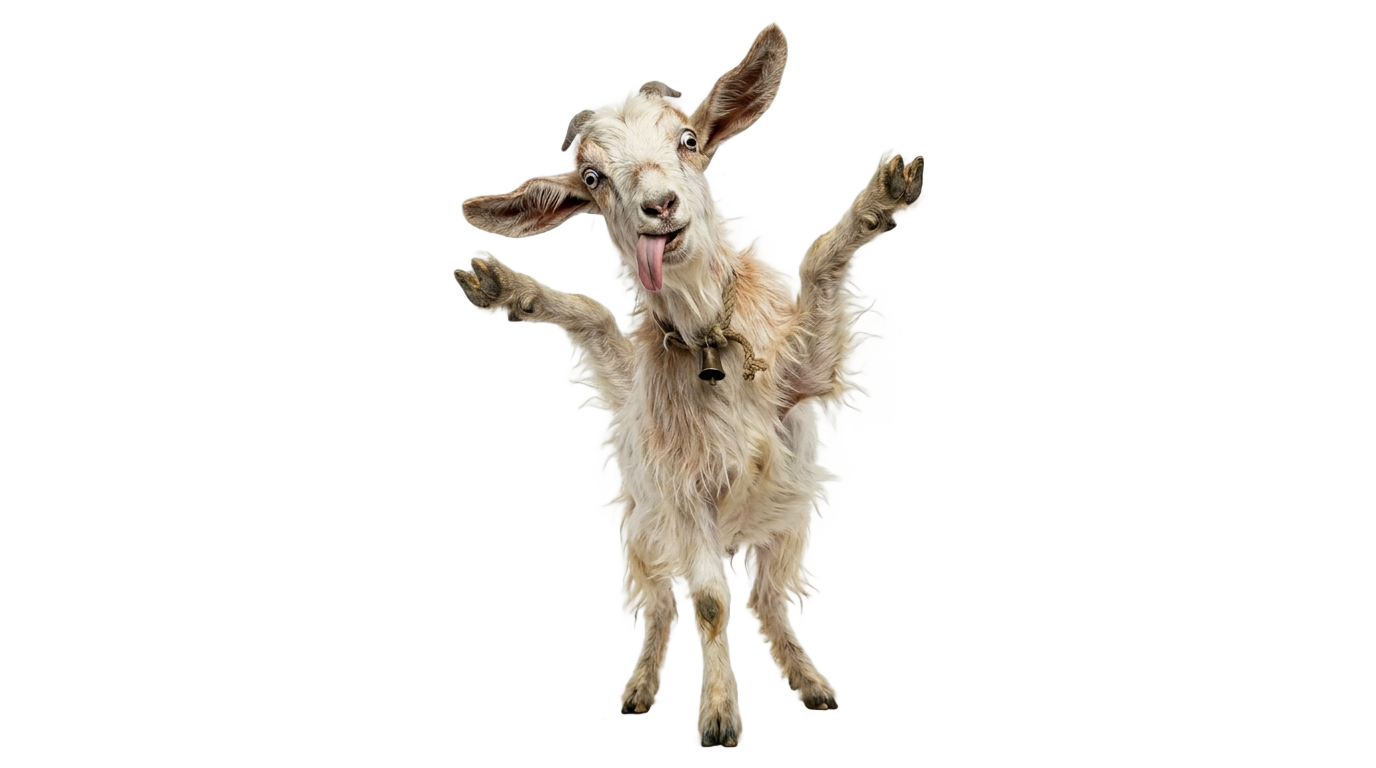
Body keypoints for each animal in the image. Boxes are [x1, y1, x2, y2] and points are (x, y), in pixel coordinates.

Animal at [454, 24, 924, 748]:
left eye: (689, 139)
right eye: (591, 179)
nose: (660, 207)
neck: (708, 341)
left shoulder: (802, 376)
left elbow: (818, 267)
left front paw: (883, 192)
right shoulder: (683, 495)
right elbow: (705, 604)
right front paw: (719, 717)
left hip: (784, 526)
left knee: (768, 595)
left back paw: (810, 684)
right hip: (645, 540)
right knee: (660, 606)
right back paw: (642, 690)